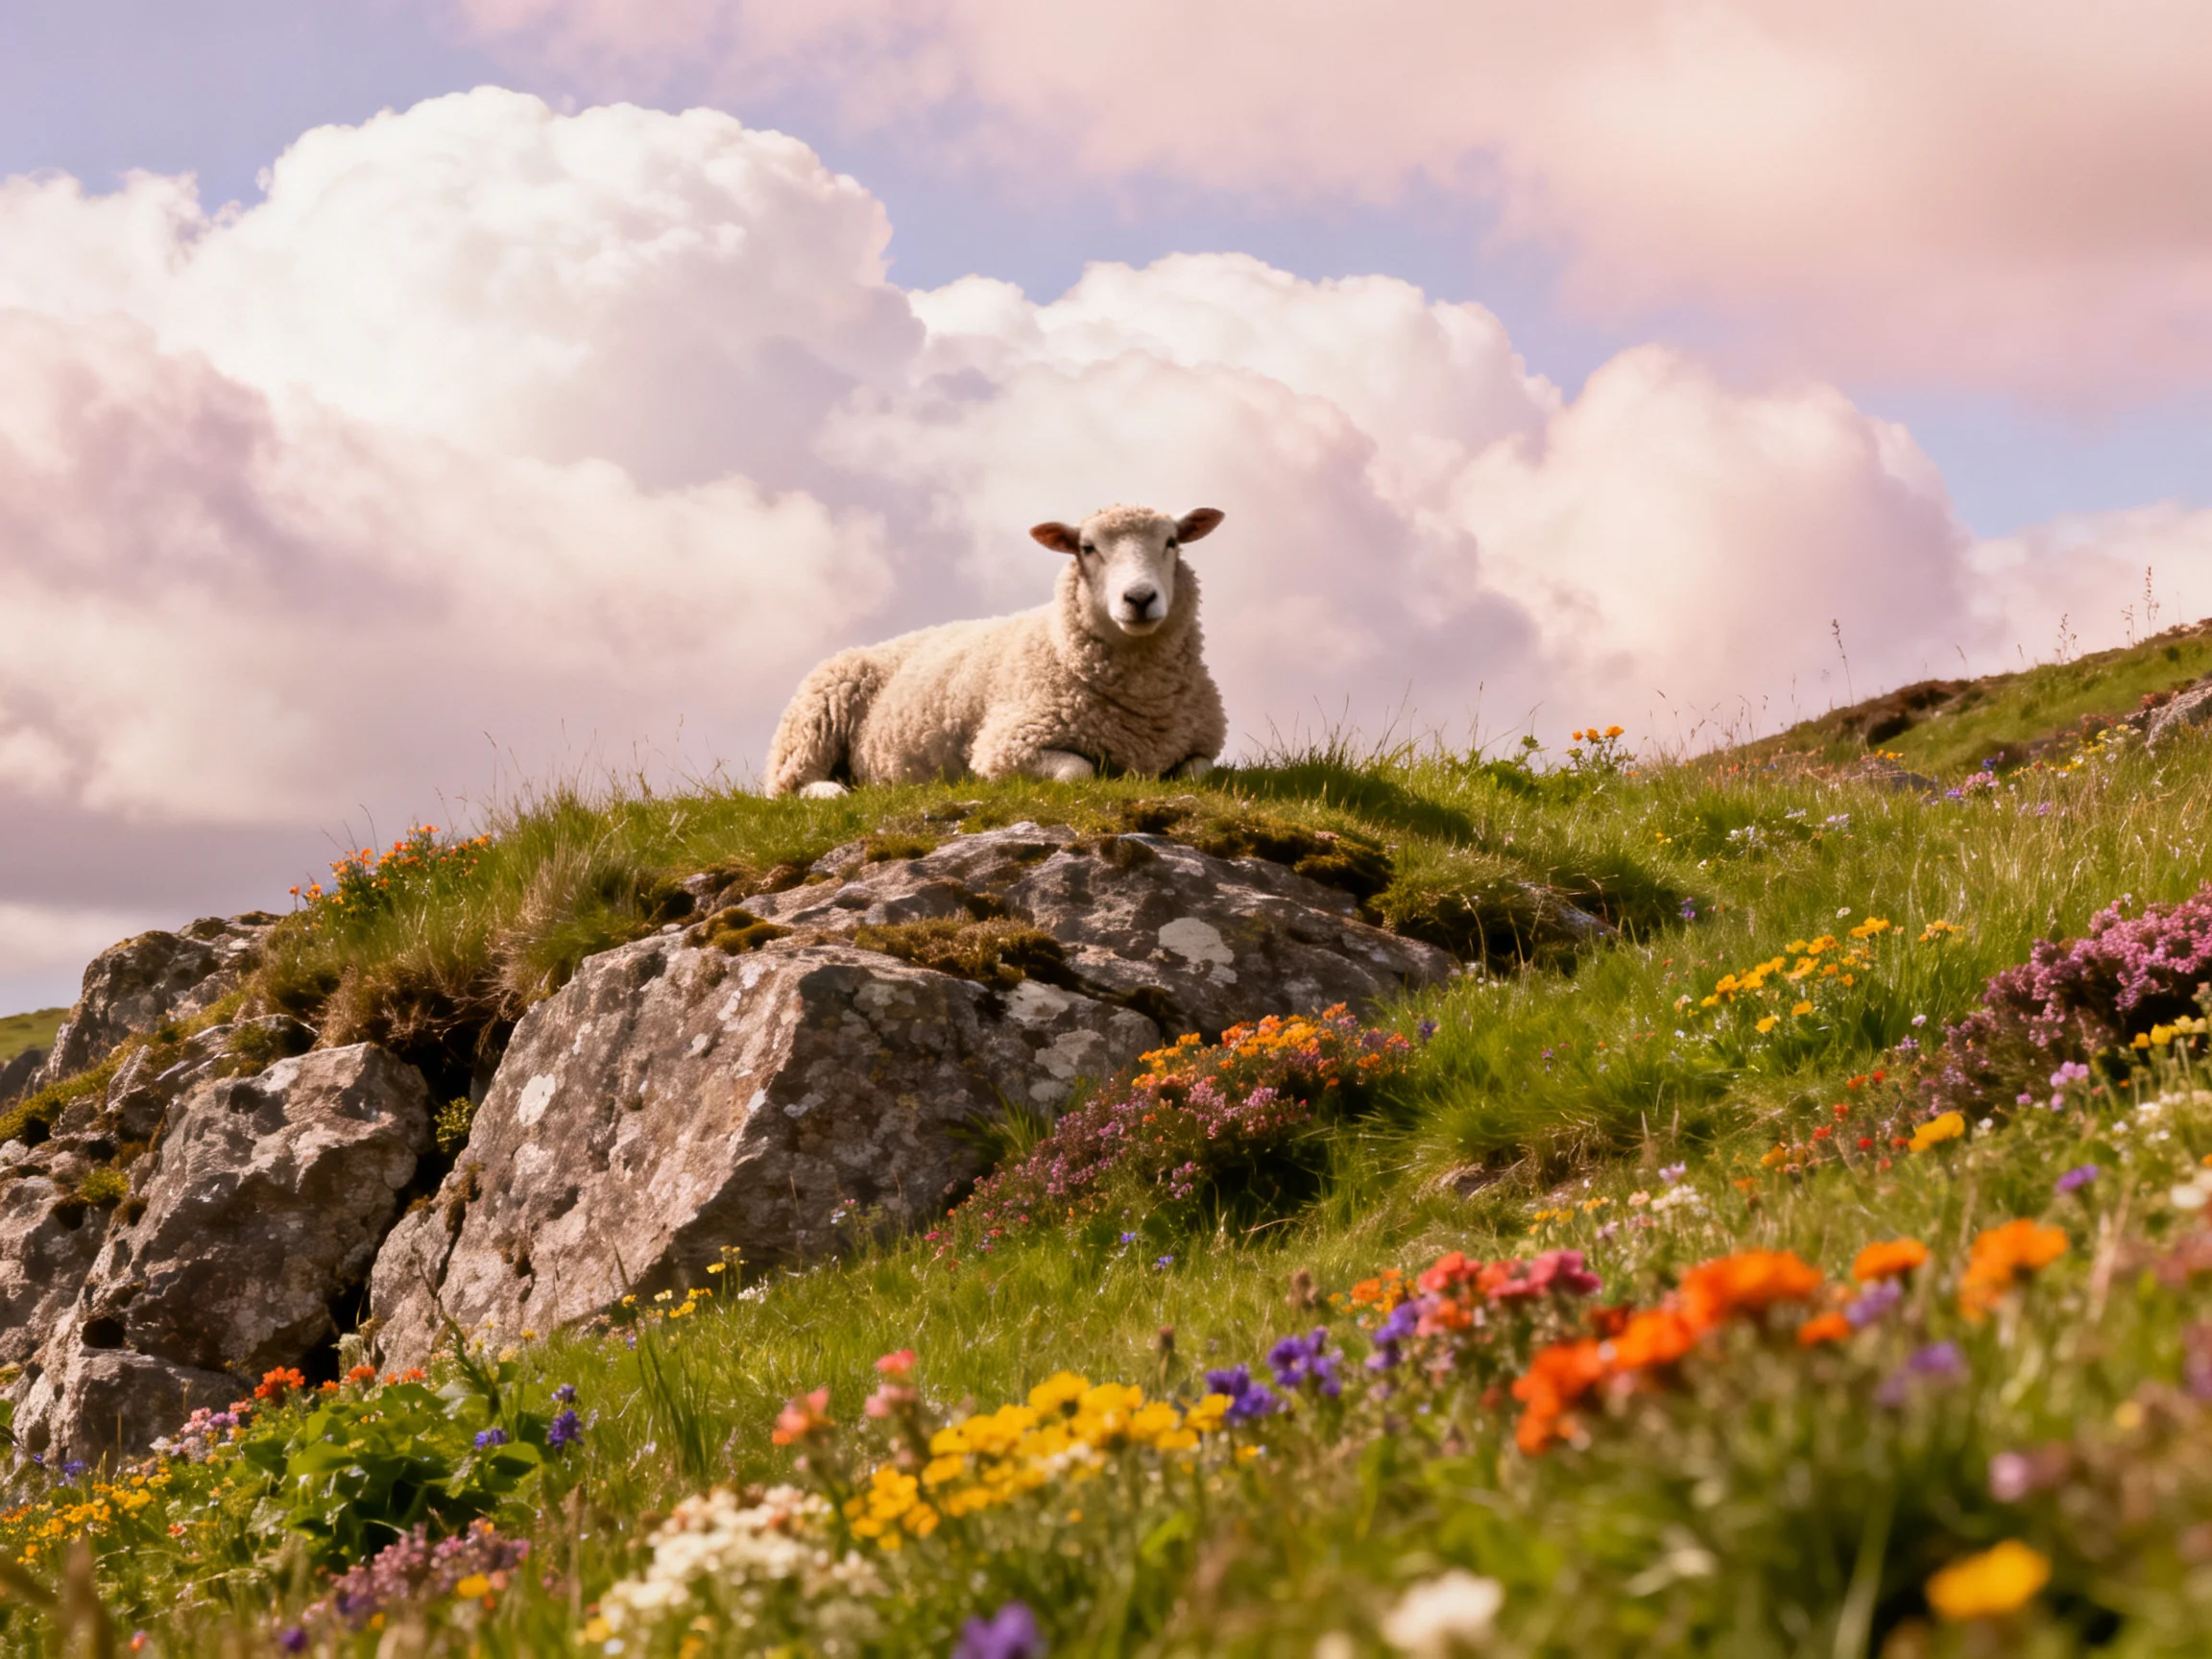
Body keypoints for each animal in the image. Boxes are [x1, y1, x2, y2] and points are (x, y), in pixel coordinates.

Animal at [764, 504, 1229, 797]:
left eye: (1171, 542)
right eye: (1088, 548)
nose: (1139, 598)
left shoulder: (1201, 748)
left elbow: (1199, 774)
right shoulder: (1004, 744)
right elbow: (1078, 772)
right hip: (813, 719)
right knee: (786, 785)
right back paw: (831, 792)